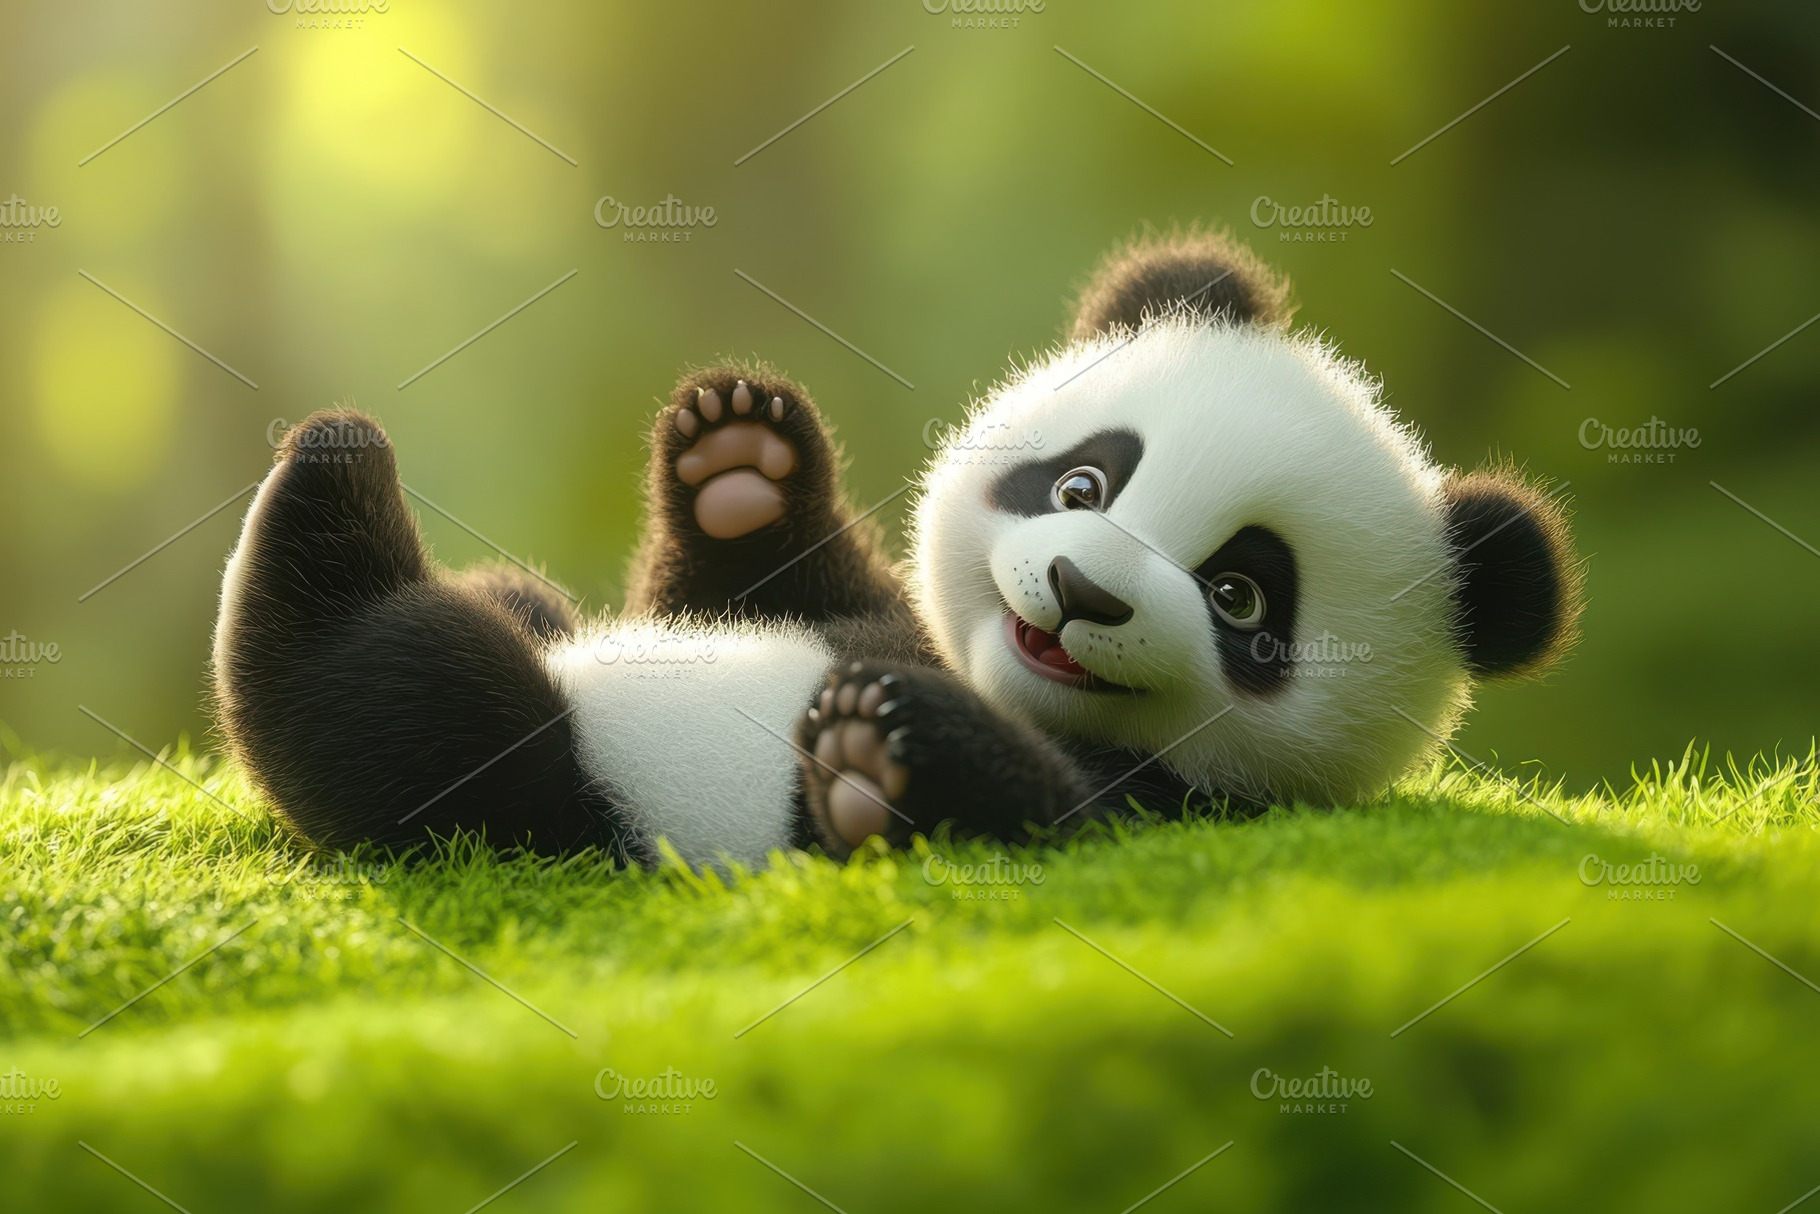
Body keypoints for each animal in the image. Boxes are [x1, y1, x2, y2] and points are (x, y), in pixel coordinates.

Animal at [211, 230, 1580, 868]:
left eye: (1238, 595)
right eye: (1083, 479)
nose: (1077, 588)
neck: (993, 676)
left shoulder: (1171, 807)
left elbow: (1057, 814)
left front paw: (888, 752)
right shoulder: (850, 610)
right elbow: (755, 585)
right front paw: (738, 463)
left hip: (569, 783)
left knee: (419, 708)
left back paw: (330, 486)